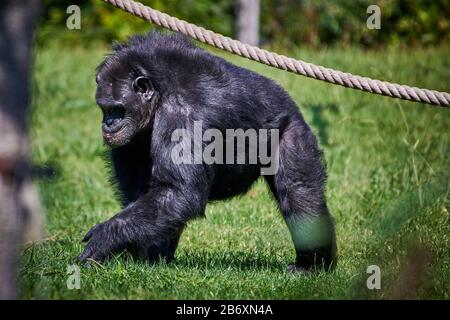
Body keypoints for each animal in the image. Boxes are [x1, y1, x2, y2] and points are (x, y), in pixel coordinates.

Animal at [79, 30, 336, 272]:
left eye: (118, 109)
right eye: (105, 108)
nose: (108, 124)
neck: (158, 92)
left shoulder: (182, 115)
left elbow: (178, 190)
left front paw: (105, 237)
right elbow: (149, 193)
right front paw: (143, 254)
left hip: (292, 133)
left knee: (299, 195)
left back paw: (311, 265)